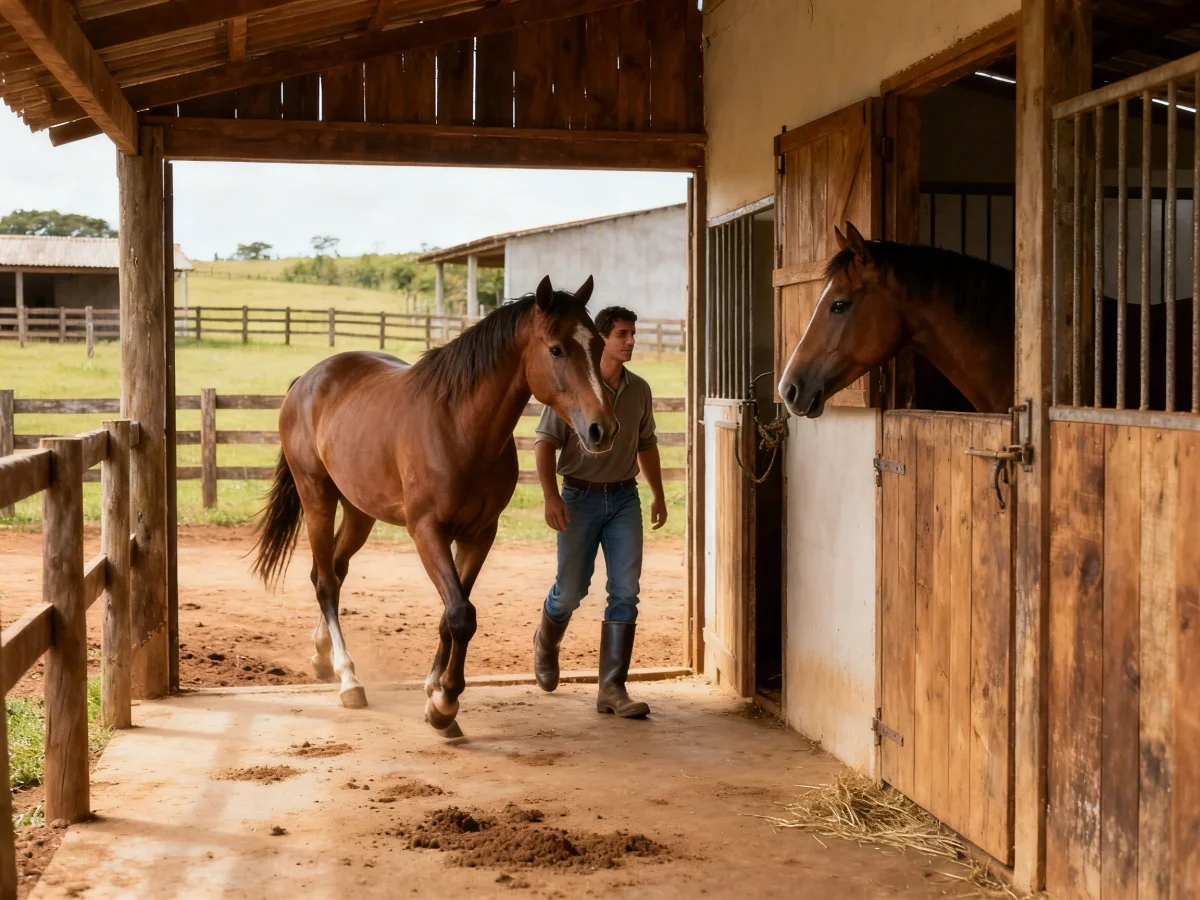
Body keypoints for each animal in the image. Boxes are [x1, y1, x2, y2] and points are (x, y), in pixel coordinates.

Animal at [250, 275, 617, 737]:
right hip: (317, 495)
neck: (459, 428)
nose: (602, 429)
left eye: (598, 345)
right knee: (326, 583)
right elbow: (460, 613)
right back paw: (348, 678)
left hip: (359, 511)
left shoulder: (480, 535)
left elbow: (452, 614)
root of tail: (308, 380)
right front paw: (444, 705)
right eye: (556, 349)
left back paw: (322, 657)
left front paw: (434, 688)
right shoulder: (427, 532)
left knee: (331, 569)